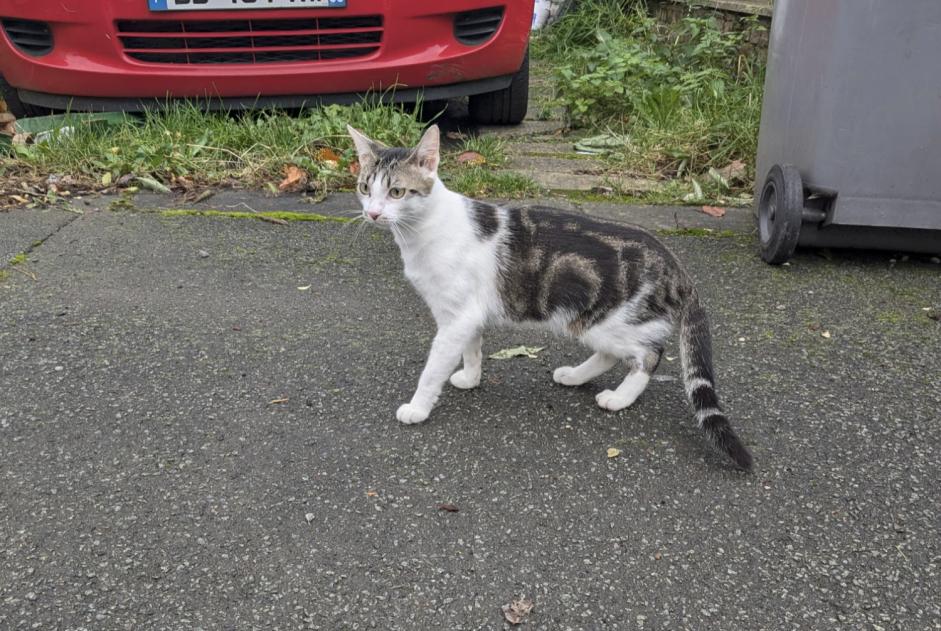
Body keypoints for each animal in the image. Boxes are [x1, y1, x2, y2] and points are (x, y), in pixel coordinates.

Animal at [348, 124, 752, 470]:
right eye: (365, 188)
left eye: (397, 192)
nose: (373, 213)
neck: (423, 233)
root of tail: (676, 265)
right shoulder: (467, 316)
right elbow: (473, 349)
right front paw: (471, 377)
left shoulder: (455, 319)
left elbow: (432, 370)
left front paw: (417, 407)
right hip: (593, 323)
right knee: (612, 354)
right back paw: (574, 376)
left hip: (610, 322)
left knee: (649, 355)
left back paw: (619, 398)